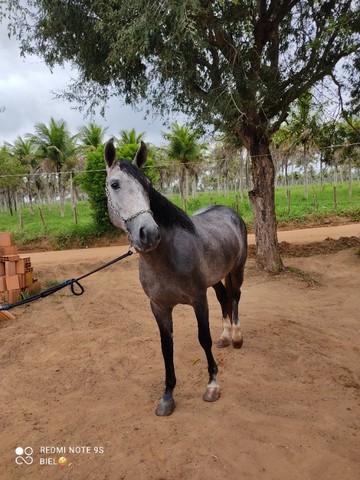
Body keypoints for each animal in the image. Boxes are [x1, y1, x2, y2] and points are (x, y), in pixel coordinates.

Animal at [104, 140, 248, 416]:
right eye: (115, 184)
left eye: (147, 183)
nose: (148, 233)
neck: (168, 255)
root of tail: (229, 211)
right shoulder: (159, 306)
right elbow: (166, 347)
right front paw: (167, 396)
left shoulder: (198, 300)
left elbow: (204, 339)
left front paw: (212, 385)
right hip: (216, 278)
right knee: (224, 297)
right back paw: (226, 336)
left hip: (237, 270)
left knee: (235, 297)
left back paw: (236, 337)